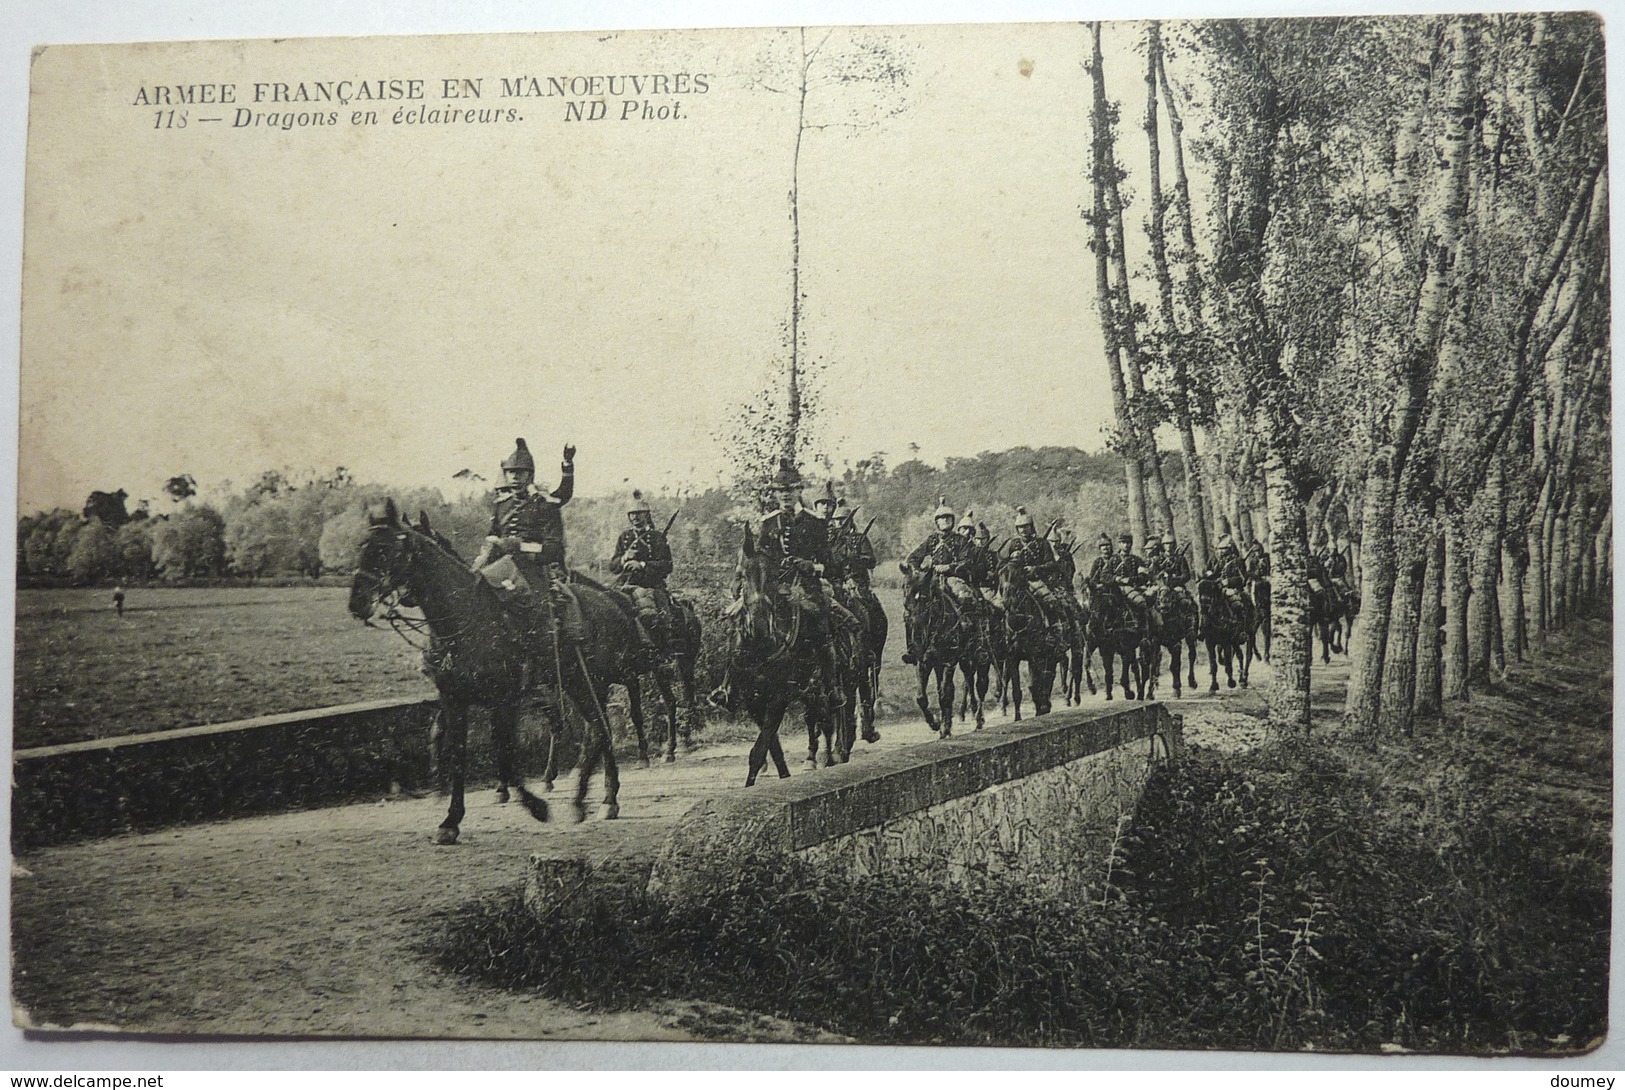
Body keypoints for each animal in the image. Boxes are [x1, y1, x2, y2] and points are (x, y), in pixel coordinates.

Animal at [354, 500, 640, 838]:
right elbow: (454, 747)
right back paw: (594, 797)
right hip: (574, 685)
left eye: (385, 550)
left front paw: (533, 804)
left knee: (596, 730)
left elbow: (504, 751)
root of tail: (612, 600)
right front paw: (450, 817)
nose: (357, 602)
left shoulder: (504, 699)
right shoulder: (454, 699)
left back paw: (592, 798)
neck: (464, 620)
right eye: (361, 546)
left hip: (588, 683)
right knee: (596, 729)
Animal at [731, 529, 845, 786]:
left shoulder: (778, 698)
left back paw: (828, 759)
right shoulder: (753, 701)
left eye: (774, 577)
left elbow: (758, 750)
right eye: (742, 575)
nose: (759, 624)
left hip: (820, 689)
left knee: (827, 721)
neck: (761, 648)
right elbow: (771, 748)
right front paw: (781, 775)